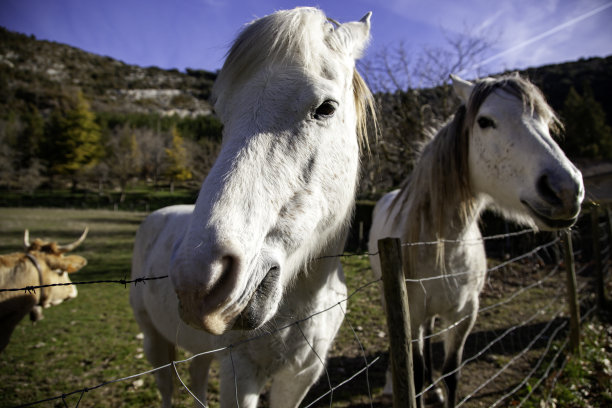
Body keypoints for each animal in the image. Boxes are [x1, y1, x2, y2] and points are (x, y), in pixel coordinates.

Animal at [131, 7, 376, 408]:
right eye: (223, 116)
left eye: (326, 108)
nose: (199, 283)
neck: (301, 303)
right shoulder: (240, 374)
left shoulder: (301, 377)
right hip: (155, 341)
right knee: (166, 387)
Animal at [368, 74, 584, 408]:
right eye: (485, 121)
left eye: (547, 122)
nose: (566, 190)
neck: (443, 246)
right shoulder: (411, 315)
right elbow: (414, 369)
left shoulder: (464, 315)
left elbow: (451, 372)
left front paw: (441, 392)